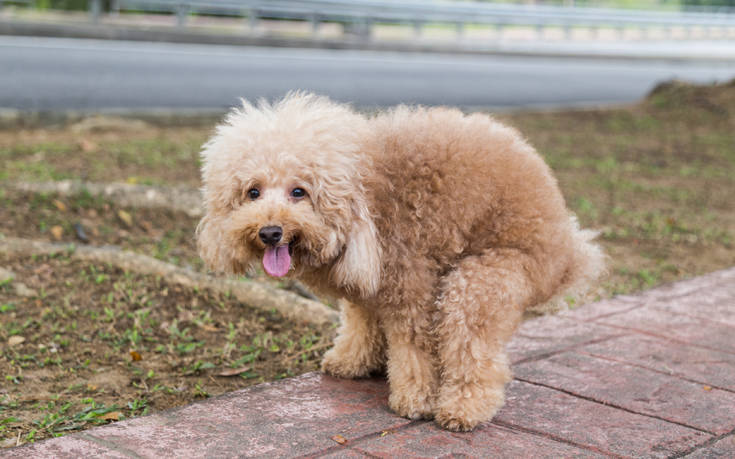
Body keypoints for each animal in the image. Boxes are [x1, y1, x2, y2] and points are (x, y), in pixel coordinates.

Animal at [196, 92, 604, 432]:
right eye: (253, 192)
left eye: (299, 192)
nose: (270, 232)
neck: (366, 191)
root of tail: (569, 252)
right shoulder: (365, 284)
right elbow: (361, 322)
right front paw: (352, 361)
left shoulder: (410, 283)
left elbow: (414, 347)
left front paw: (415, 399)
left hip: (485, 278)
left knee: (472, 346)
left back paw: (463, 409)